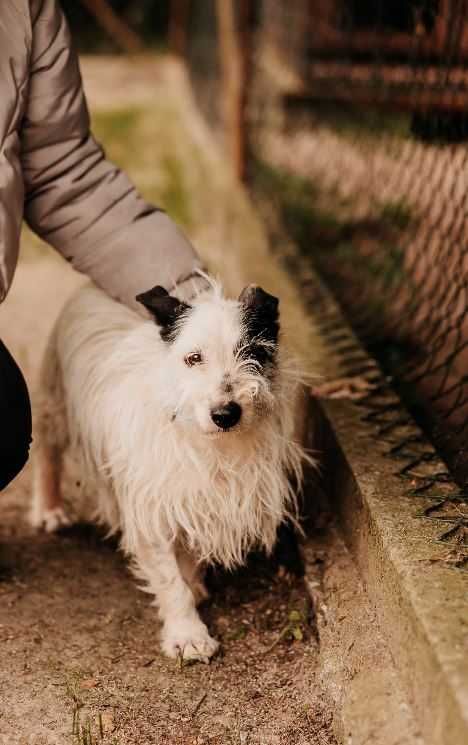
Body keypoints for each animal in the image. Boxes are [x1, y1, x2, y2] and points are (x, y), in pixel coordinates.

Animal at [31, 276, 312, 660]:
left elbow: (189, 554)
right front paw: (187, 633)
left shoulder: (196, 499)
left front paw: (193, 584)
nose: (226, 414)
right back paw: (48, 508)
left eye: (253, 352)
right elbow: (169, 580)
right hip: (55, 402)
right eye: (193, 358)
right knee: (47, 451)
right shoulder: (150, 509)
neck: (212, 443)